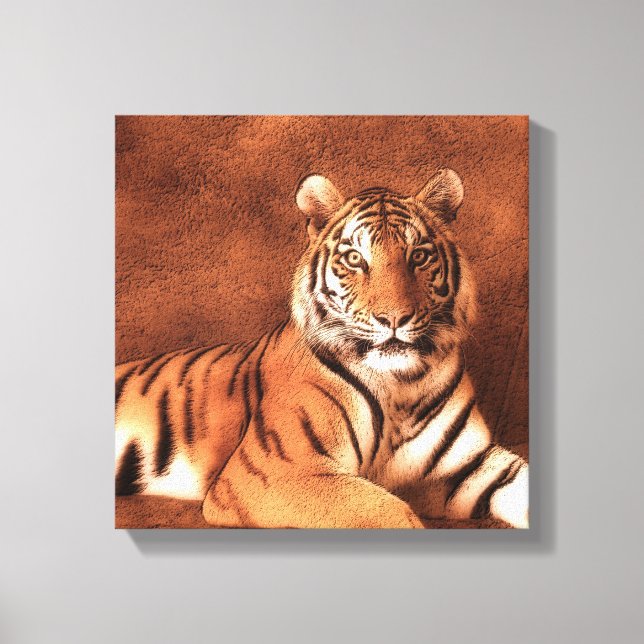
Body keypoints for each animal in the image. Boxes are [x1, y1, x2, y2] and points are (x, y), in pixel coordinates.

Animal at [115, 168, 529, 529]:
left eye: (419, 256)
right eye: (355, 259)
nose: (394, 318)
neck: (401, 387)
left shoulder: (470, 466)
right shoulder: (276, 469)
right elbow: (388, 513)